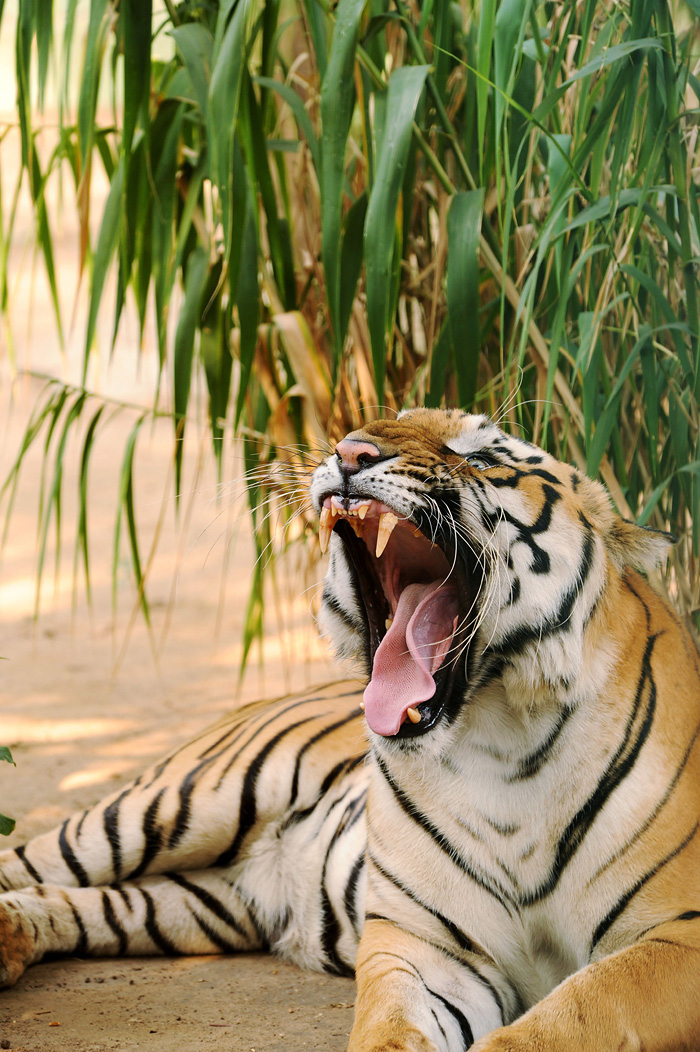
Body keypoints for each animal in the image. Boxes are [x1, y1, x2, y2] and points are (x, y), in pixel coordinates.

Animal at [1, 407, 700, 1052]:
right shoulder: (425, 946)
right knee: (30, 860)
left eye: (481, 454)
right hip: (172, 806)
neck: (503, 745)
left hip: (204, 900)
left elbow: (570, 1016)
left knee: (95, 900)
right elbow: (393, 1027)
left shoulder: (678, 935)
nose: (350, 451)